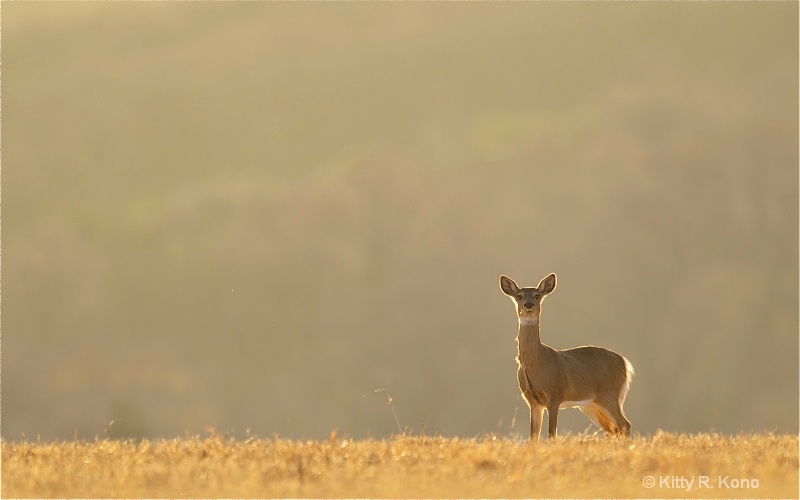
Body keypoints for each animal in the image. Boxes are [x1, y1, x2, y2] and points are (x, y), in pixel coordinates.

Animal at [500, 274, 632, 442]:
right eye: (519, 296)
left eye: (537, 295)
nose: (528, 304)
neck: (537, 362)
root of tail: (625, 363)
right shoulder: (533, 402)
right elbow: (533, 437)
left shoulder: (555, 395)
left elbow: (551, 434)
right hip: (591, 404)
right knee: (611, 429)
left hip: (609, 394)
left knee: (624, 425)